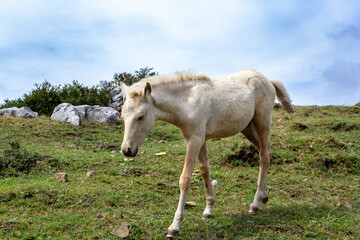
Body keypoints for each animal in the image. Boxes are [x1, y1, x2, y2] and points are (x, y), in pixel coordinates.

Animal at [119, 69, 294, 236]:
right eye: (122, 116)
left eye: (141, 116)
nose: (127, 150)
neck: (187, 101)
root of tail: (267, 80)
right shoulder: (199, 138)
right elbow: (204, 169)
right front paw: (208, 209)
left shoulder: (194, 139)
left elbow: (185, 179)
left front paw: (175, 225)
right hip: (247, 128)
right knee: (266, 151)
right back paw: (264, 195)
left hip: (262, 122)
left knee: (264, 156)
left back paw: (255, 203)